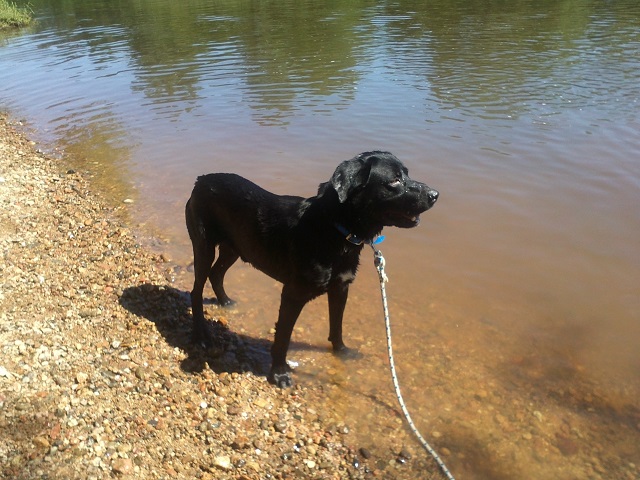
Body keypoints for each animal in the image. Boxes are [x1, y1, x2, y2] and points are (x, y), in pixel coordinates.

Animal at [182, 150, 438, 386]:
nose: (435, 195)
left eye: (407, 174)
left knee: (216, 274)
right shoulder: (293, 294)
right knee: (197, 290)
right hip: (204, 246)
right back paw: (200, 335)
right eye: (394, 180)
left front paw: (341, 352)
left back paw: (225, 302)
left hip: (234, 248)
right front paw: (279, 373)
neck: (334, 229)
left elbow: (337, 325)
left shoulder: (341, 288)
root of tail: (201, 180)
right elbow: (283, 337)